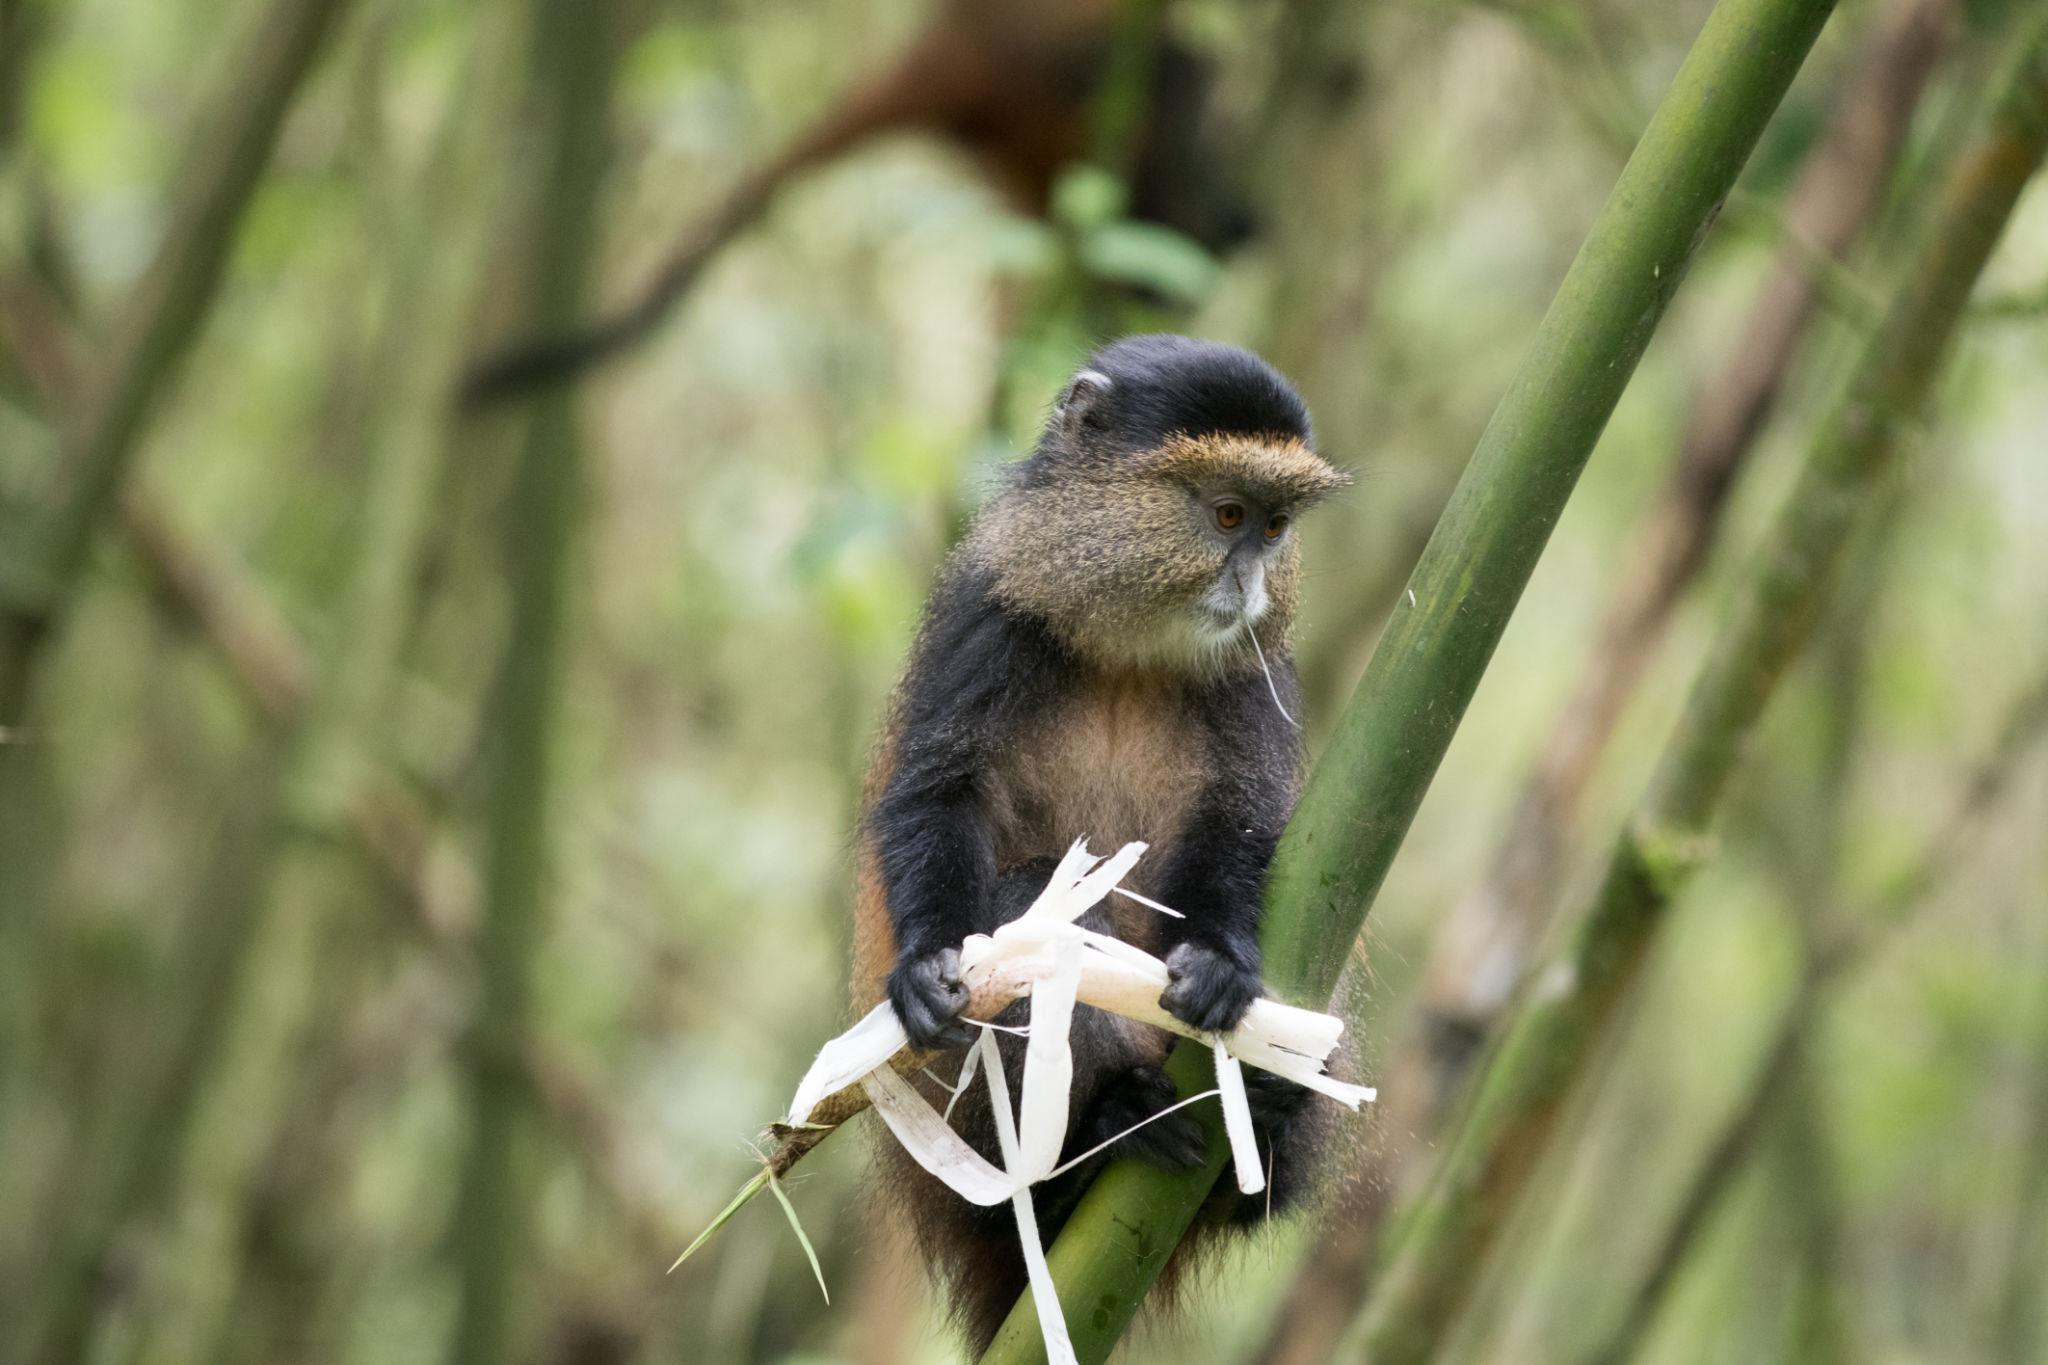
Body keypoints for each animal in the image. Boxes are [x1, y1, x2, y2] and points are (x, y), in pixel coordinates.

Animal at [848, 334, 1350, 1351]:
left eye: (1276, 526)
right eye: (1227, 513)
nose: (1249, 586)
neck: (1131, 646)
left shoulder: (1255, 673)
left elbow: (1241, 820)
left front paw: (1221, 963)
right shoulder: (988, 612)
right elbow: (937, 793)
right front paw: (924, 966)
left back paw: (1270, 1123)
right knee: (1029, 907)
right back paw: (1094, 1142)